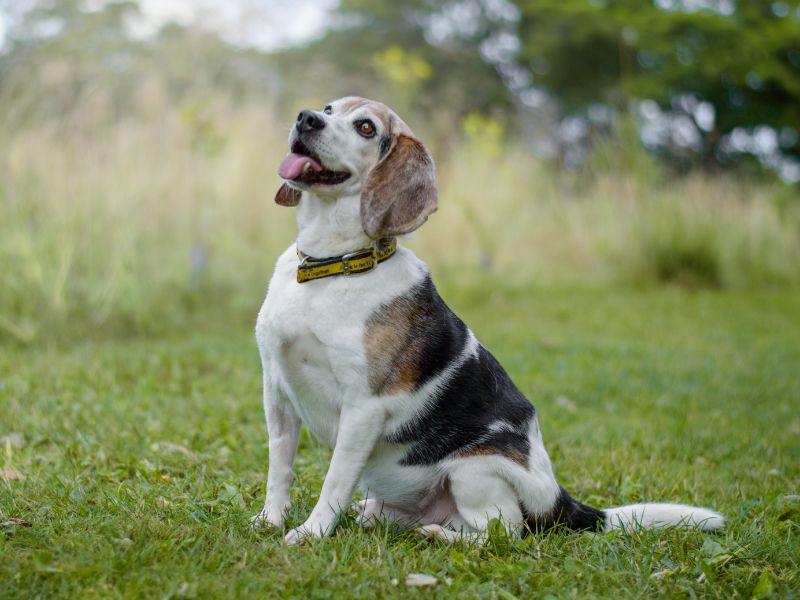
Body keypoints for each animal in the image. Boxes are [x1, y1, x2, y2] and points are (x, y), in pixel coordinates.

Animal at [252, 95, 724, 544]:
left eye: (365, 127)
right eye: (329, 108)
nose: (306, 118)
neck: (331, 267)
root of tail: (558, 498)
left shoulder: (364, 408)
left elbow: (334, 480)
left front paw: (311, 533)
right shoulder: (276, 389)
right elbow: (280, 468)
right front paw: (270, 520)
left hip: (475, 469)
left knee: (500, 533)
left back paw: (437, 534)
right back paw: (378, 516)